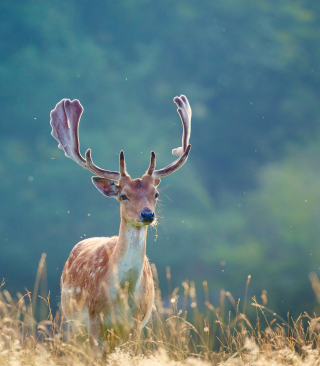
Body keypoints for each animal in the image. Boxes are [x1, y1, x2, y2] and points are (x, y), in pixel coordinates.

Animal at [48, 95, 191, 354]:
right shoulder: (93, 319)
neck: (122, 296)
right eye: (123, 195)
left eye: (156, 194)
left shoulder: (136, 325)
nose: (147, 215)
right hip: (71, 321)